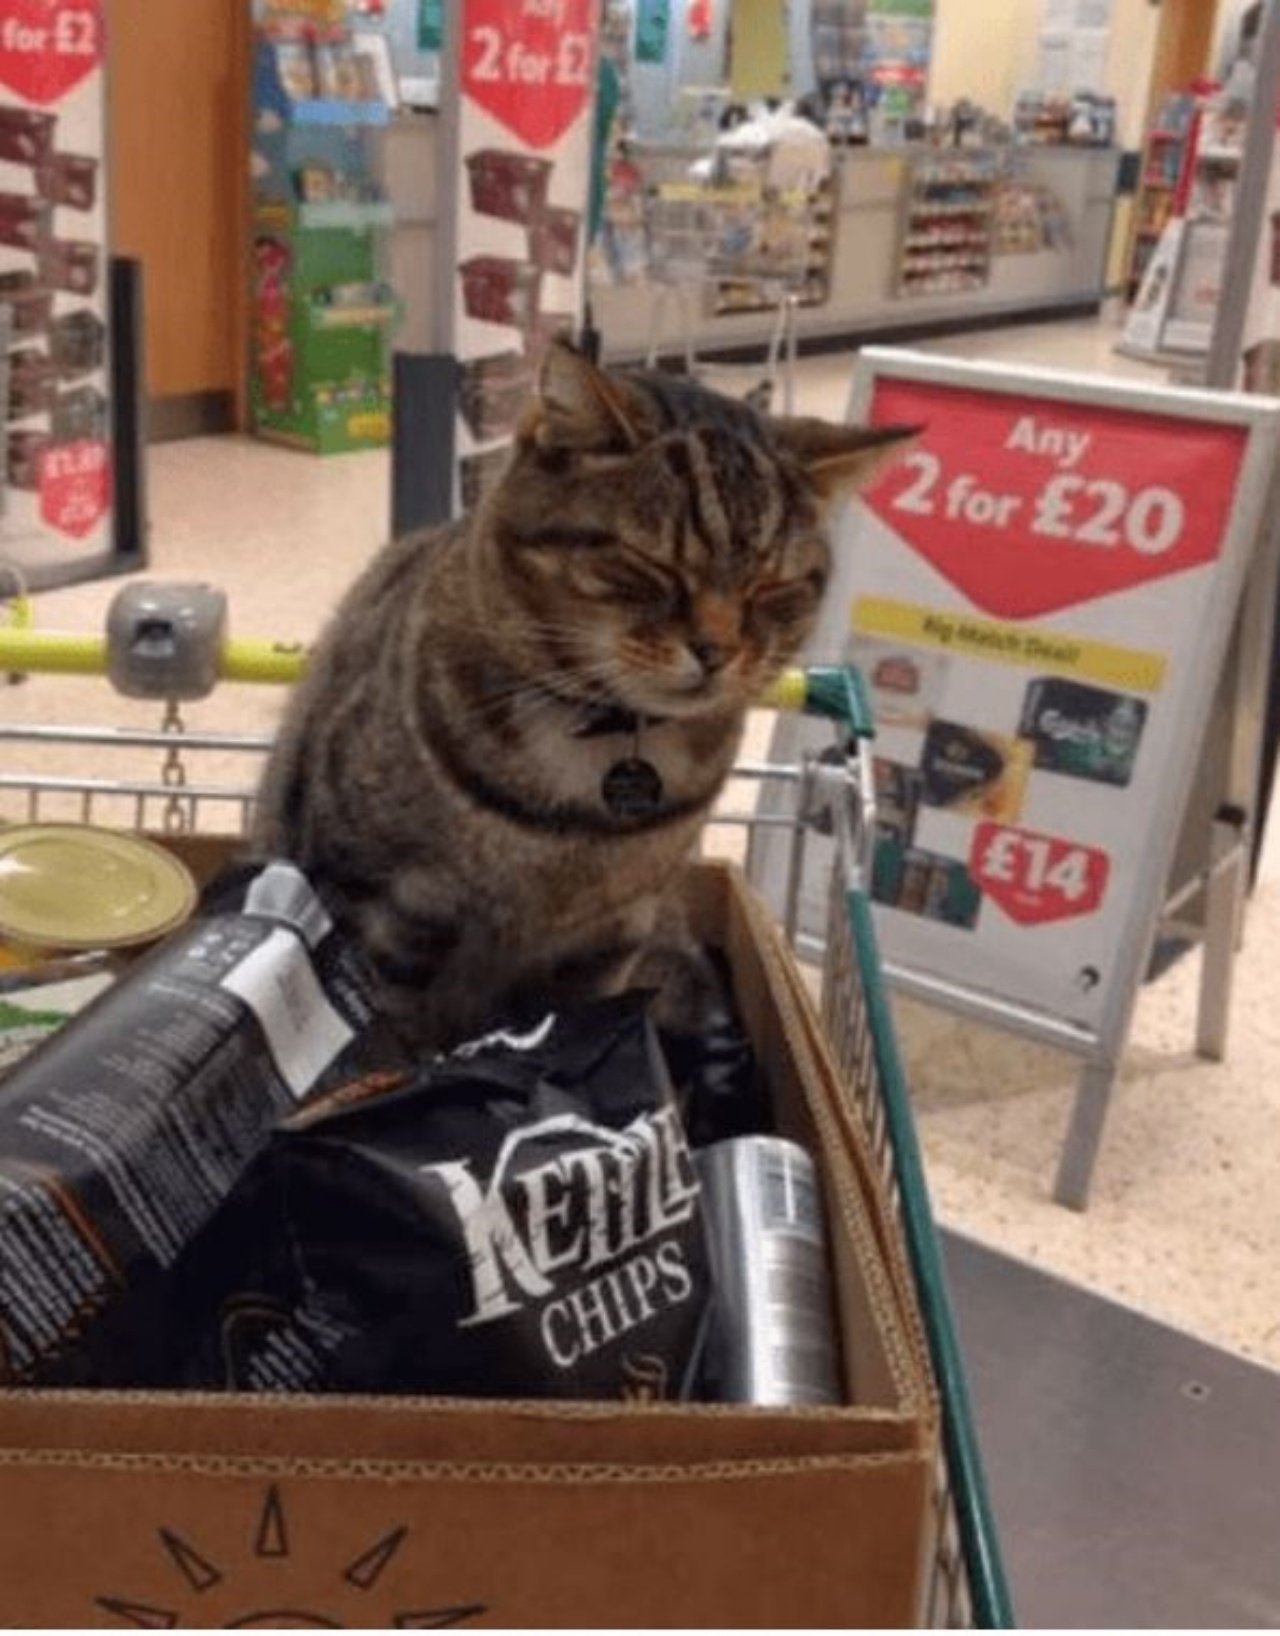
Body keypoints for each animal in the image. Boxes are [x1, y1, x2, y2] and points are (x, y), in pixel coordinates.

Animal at [253, 350, 910, 1053]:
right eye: (653, 564)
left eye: (771, 587)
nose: (717, 650)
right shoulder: (378, 906)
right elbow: (392, 1039)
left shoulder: (605, 941)